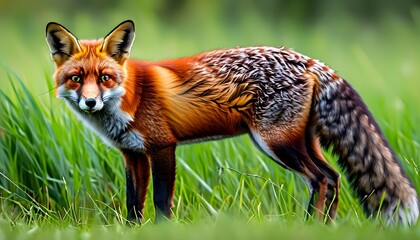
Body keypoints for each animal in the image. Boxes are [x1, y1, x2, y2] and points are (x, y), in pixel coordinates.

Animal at [46, 20, 420, 225]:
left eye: (105, 78)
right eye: (76, 78)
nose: (90, 102)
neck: (132, 96)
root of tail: (309, 60)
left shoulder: (163, 147)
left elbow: (161, 202)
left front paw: (161, 230)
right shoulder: (132, 154)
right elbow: (133, 204)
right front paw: (134, 232)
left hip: (277, 143)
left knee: (320, 179)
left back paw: (310, 226)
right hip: (299, 143)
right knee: (333, 177)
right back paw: (324, 228)